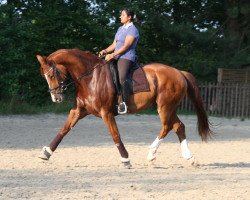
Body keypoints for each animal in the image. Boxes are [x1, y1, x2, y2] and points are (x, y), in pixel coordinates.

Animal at [36, 48, 213, 167]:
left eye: (51, 75)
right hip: (169, 108)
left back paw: (151, 153)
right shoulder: (79, 110)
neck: (90, 77)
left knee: (167, 126)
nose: (56, 98)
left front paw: (125, 159)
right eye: (44, 76)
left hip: (164, 107)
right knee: (178, 126)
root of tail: (179, 73)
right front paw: (46, 152)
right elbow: (64, 129)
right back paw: (189, 157)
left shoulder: (106, 113)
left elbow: (115, 134)